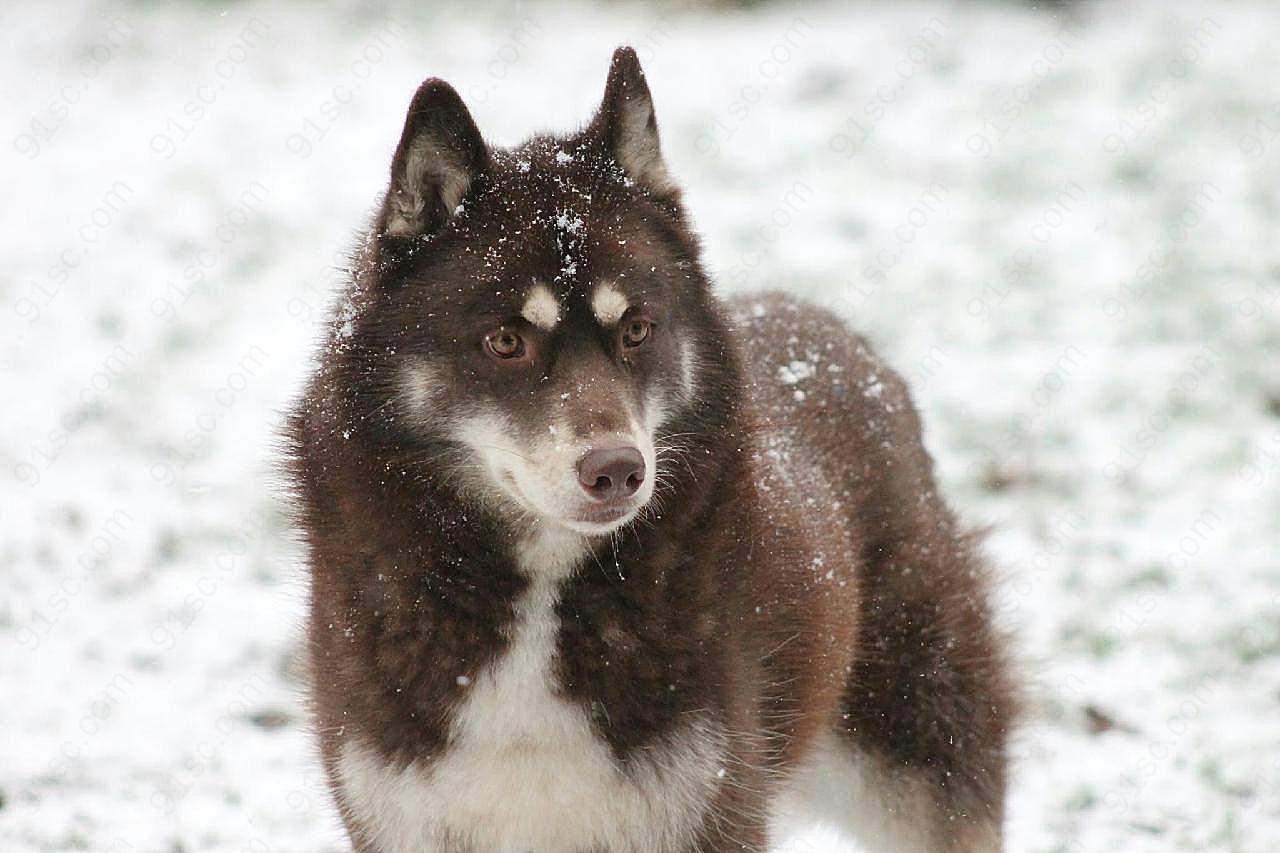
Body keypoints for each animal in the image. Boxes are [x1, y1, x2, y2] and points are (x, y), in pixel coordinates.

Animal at [288, 46, 1008, 850]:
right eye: (505, 340)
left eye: (636, 329)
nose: (618, 470)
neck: (539, 593)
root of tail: (842, 338)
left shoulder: (704, 805)